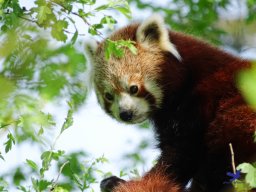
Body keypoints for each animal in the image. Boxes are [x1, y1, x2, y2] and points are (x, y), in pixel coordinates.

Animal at [86, 15, 256, 192]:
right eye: (109, 96)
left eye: (134, 88)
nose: (125, 113)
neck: (188, 78)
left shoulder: (198, 100)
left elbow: (179, 156)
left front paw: (128, 183)